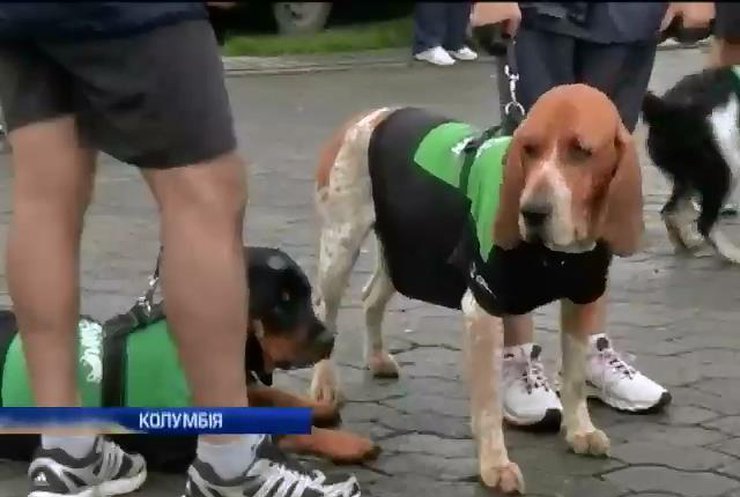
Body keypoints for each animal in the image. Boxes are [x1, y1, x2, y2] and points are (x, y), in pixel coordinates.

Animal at [640, 65, 740, 264]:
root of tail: (664, 110)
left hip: (688, 175)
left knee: (669, 211)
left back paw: (685, 243)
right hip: (723, 169)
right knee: (704, 222)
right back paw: (732, 254)